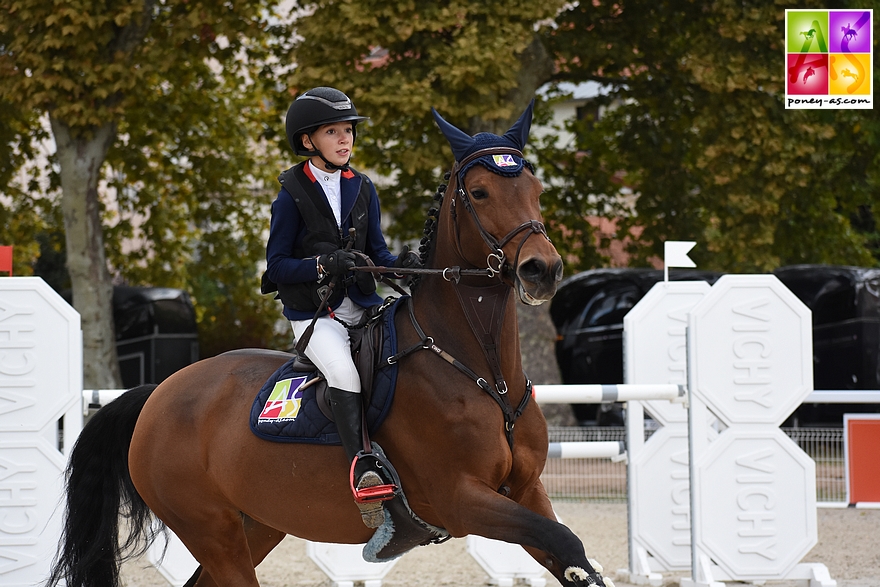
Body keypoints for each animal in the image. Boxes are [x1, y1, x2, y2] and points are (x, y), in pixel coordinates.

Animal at [46, 103, 612, 587]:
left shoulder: (527, 489)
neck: (481, 366)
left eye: (535, 187)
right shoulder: (461, 498)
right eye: (478, 193)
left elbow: (570, 550)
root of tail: (158, 394)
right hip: (214, 531)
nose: (542, 270)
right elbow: (562, 539)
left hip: (260, 523)